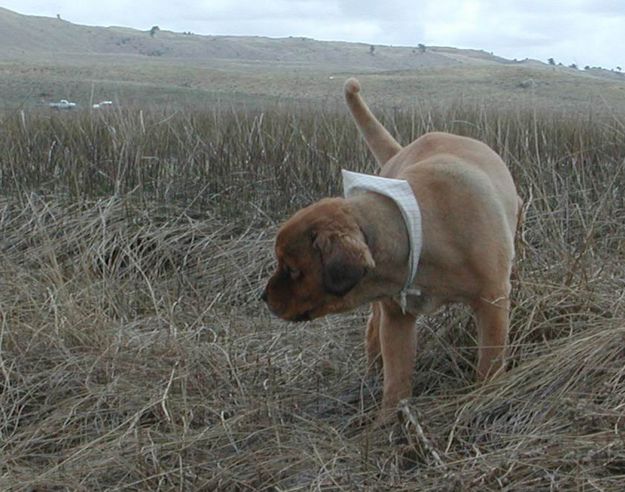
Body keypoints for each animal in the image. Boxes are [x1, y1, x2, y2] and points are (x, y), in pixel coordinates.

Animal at [260, 79, 520, 418]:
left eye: (292, 269)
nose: (263, 297)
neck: (417, 228)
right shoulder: (396, 317)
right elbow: (396, 379)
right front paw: (387, 422)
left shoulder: (493, 303)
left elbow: (489, 363)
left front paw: (485, 399)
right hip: (380, 310)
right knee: (373, 333)